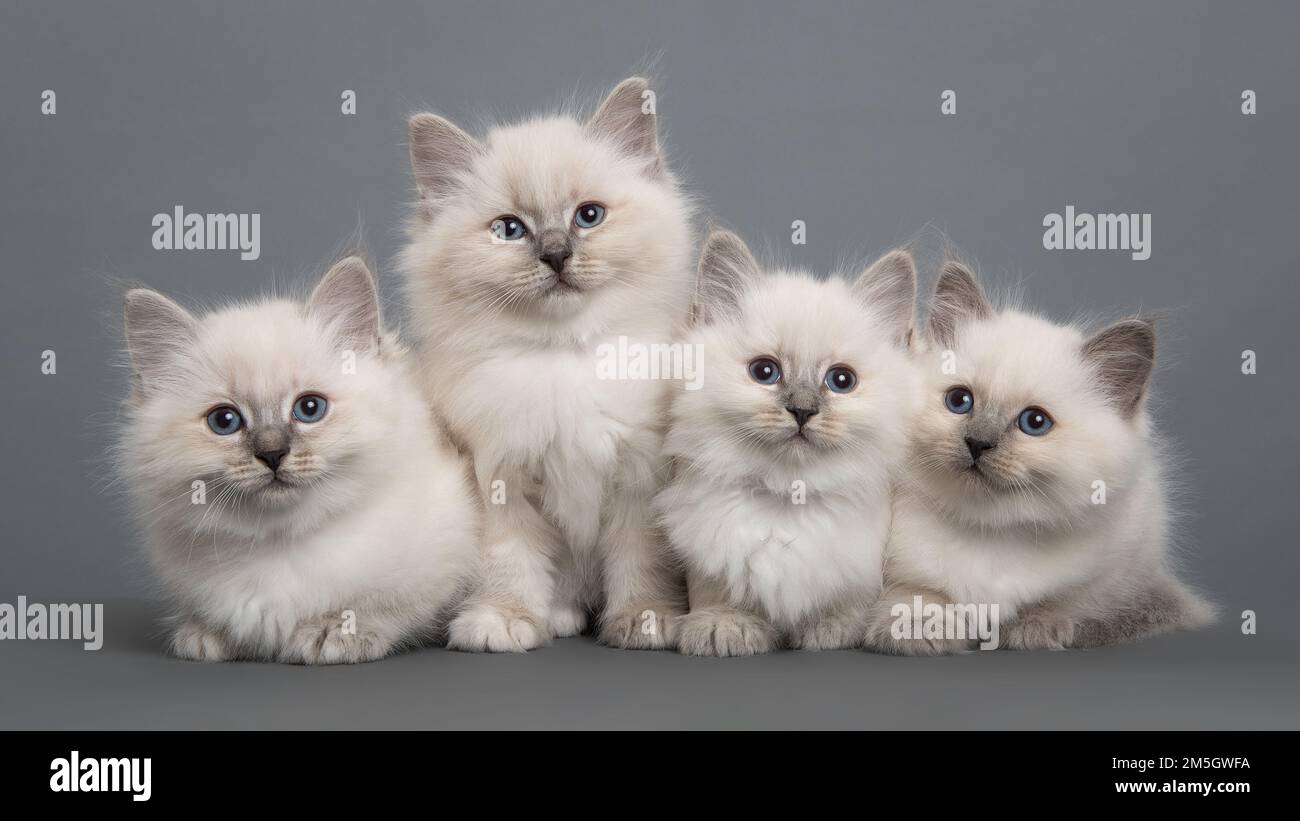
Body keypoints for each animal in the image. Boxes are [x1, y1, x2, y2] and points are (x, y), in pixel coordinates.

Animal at [118, 259, 478, 665]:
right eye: (224, 421)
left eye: (309, 408)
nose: (272, 454)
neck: (278, 544)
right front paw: (204, 635)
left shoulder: (447, 552)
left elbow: (384, 606)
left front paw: (332, 633)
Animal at [400, 78, 696, 654]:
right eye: (509, 229)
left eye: (589, 216)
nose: (557, 255)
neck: (563, 360)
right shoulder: (499, 478)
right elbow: (509, 563)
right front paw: (503, 621)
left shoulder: (640, 477)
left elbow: (641, 560)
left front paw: (645, 620)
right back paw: (557, 615)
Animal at [655, 229, 920, 654]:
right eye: (765, 371)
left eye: (841, 380)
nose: (802, 410)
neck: (787, 498)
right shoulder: (707, 556)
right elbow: (717, 595)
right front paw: (723, 625)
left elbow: (846, 604)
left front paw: (830, 629)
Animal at [868, 262, 1211, 654]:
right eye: (959, 401)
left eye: (1035, 422)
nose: (978, 443)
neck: (990, 533)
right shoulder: (901, 574)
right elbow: (917, 597)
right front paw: (918, 630)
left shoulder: (1118, 568)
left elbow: (1069, 602)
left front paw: (1034, 628)